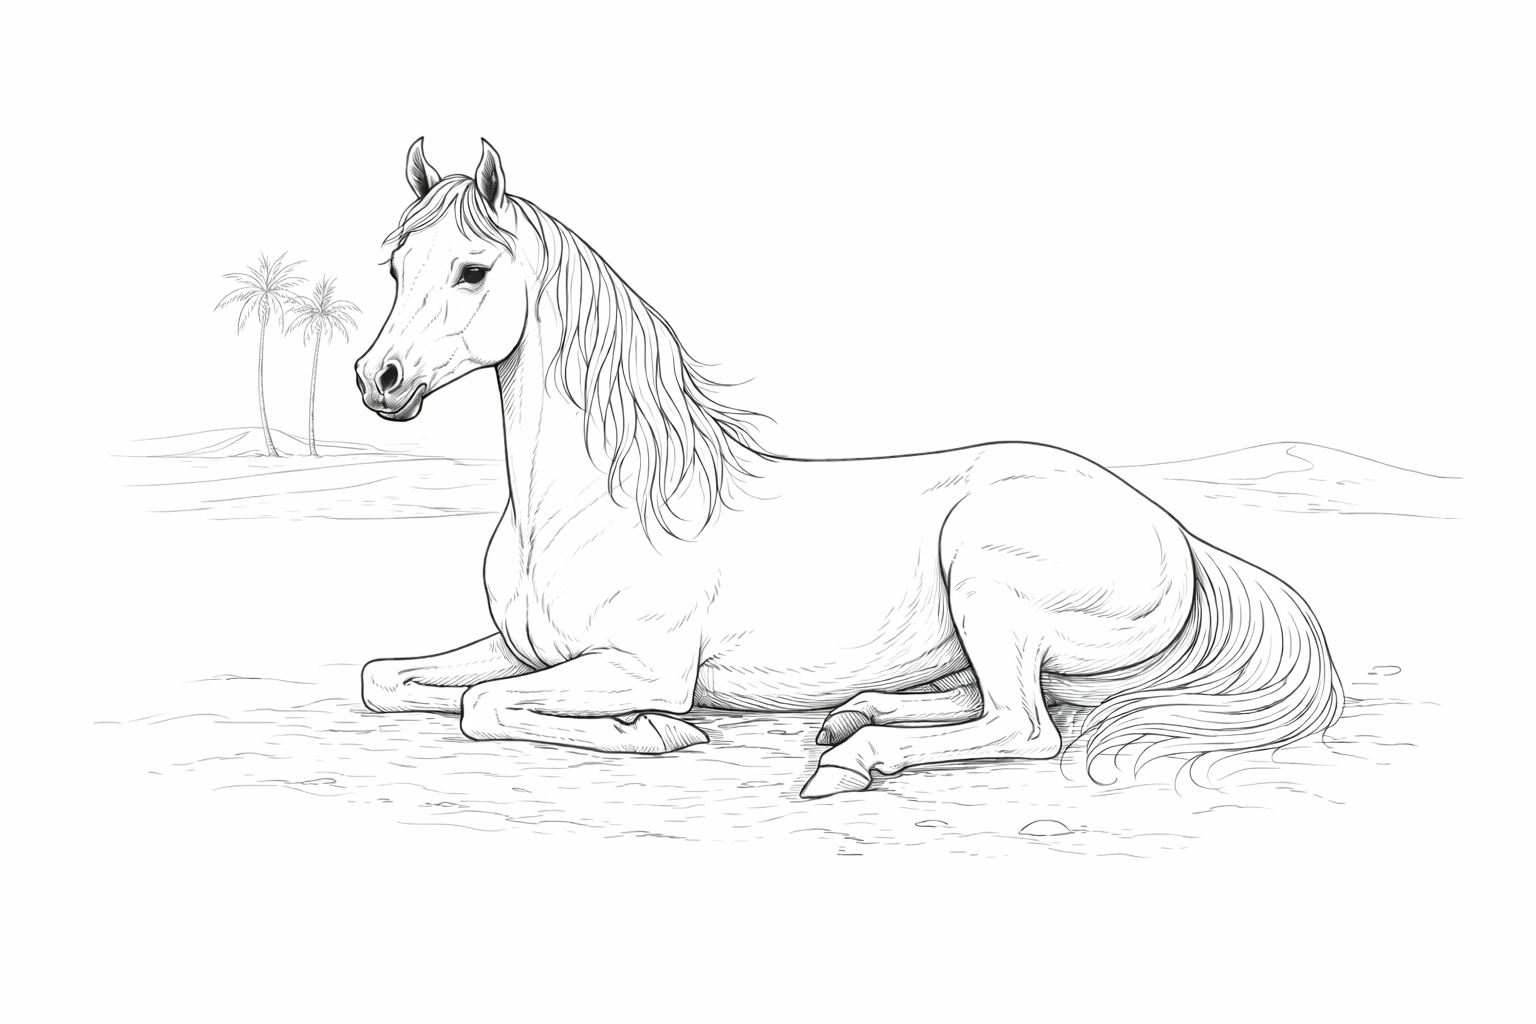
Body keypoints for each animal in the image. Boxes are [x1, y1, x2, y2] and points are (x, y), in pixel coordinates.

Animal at [354, 137, 1344, 799]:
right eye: (396, 267)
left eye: (473, 270)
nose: (378, 381)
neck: (597, 503)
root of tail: (1179, 538)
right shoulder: (523, 648)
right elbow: (388, 680)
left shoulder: (640, 663)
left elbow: (482, 707)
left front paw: (656, 733)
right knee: (984, 700)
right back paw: (853, 714)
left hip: (987, 579)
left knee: (1026, 727)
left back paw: (851, 759)